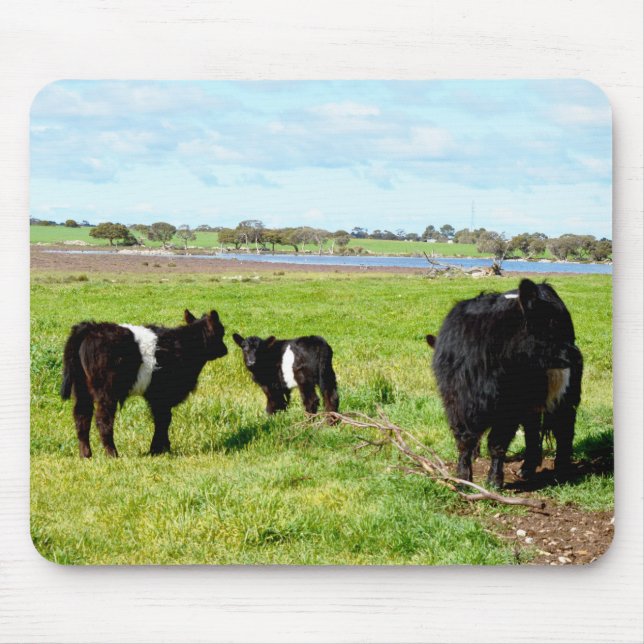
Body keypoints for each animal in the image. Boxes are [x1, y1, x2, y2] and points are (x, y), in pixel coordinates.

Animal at [60, 309, 228, 457]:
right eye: (221, 332)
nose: (225, 350)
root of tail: (90, 328)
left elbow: (162, 420)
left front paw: (163, 448)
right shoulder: (162, 395)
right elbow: (163, 420)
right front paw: (157, 449)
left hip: (81, 388)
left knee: (81, 417)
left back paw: (86, 454)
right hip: (106, 391)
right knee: (103, 420)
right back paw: (112, 454)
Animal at [428, 278, 582, 488]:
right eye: (552, 322)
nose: (576, 354)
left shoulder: (509, 409)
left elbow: (497, 443)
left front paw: (494, 480)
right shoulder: (456, 404)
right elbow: (464, 441)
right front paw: (463, 479)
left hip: (566, 395)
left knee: (563, 428)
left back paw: (561, 469)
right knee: (533, 431)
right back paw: (527, 468)